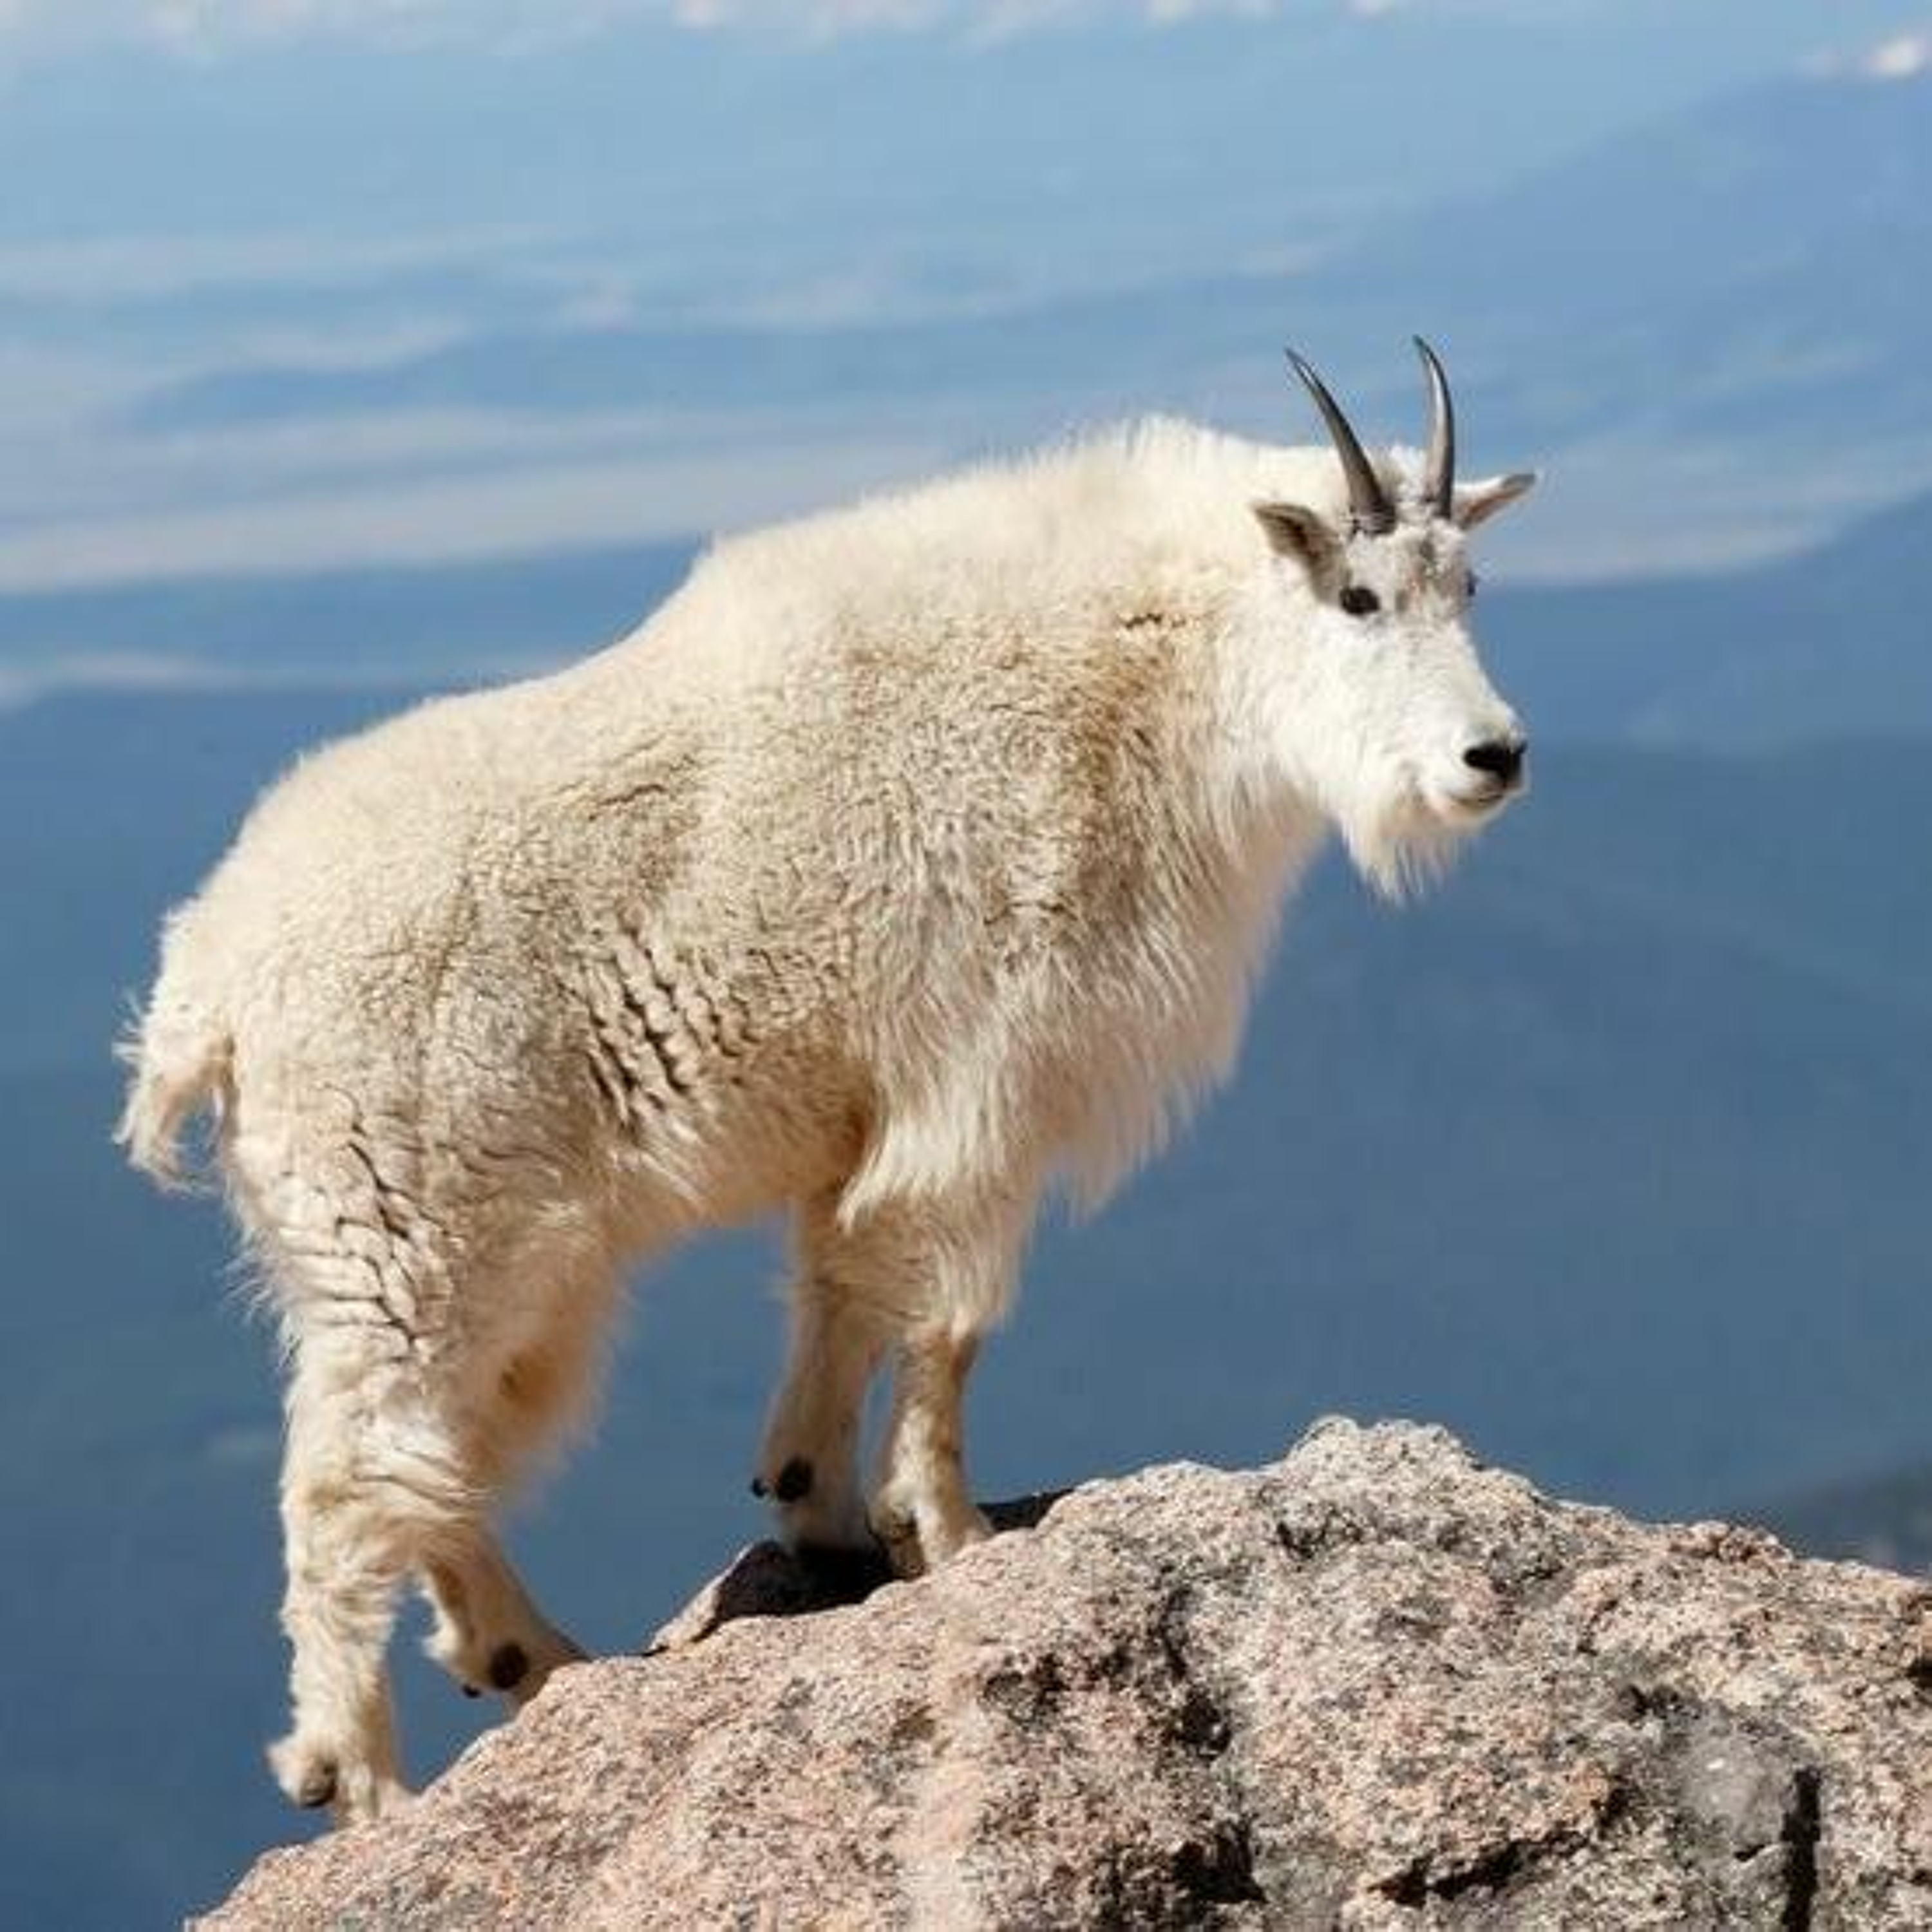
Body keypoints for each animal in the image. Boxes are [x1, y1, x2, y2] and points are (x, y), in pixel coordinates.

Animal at [119, 341, 1536, 1822]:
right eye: (1359, 596)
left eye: (1469, 585)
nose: (1492, 758)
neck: (1146, 666)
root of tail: (205, 990)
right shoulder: (986, 1077)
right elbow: (950, 1314)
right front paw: (952, 1534)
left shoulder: (880, 1114)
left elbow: (843, 1282)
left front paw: (821, 1506)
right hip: (410, 1235)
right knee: (347, 1490)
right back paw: (364, 1783)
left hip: (452, 1261)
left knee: (428, 1466)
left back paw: (526, 1657)